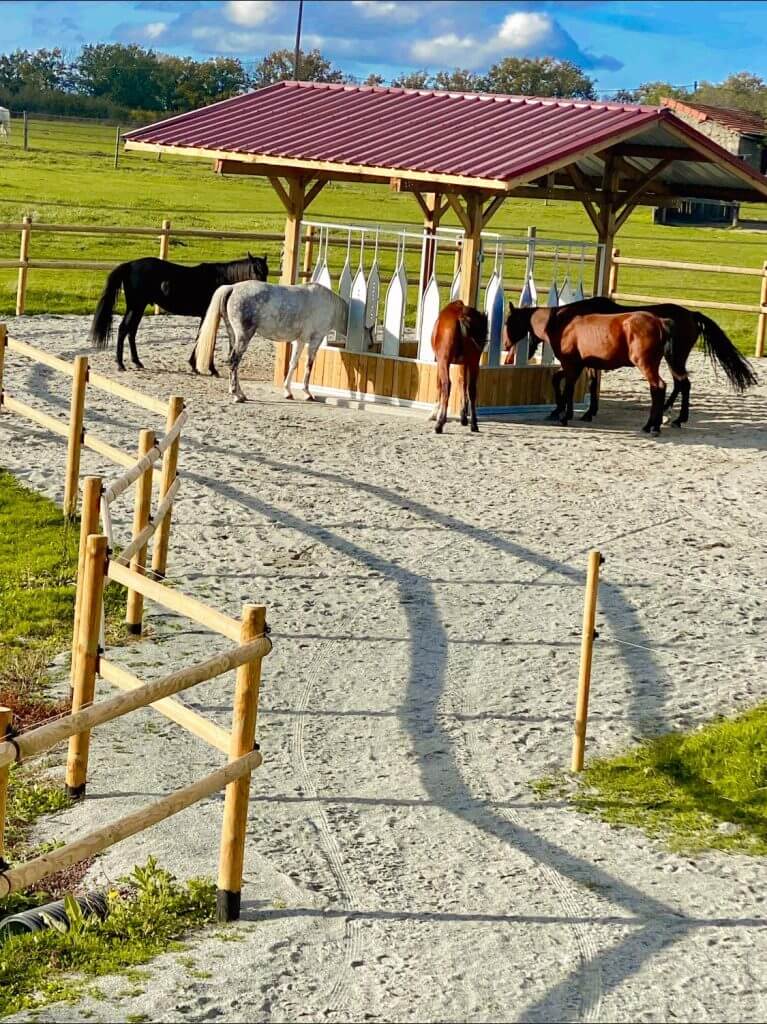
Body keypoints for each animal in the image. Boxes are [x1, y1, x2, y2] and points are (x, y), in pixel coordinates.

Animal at [89, 253, 268, 374]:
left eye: (266, 272)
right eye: (254, 270)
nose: (264, 291)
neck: (220, 281)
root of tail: (130, 265)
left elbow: (202, 338)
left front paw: (196, 366)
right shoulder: (208, 316)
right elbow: (207, 339)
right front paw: (208, 368)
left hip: (138, 307)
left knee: (131, 331)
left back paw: (137, 362)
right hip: (136, 306)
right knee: (123, 329)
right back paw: (120, 364)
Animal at [192, 284, 364, 407]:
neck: (329, 306)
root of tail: (232, 288)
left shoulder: (300, 340)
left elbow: (293, 364)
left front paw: (288, 392)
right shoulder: (315, 340)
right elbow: (309, 366)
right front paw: (307, 394)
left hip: (233, 334)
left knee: (232, 362)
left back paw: (241, 394)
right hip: (243, 337)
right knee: (234, 361)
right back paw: (236, 395)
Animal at [428, 301, 487, 434]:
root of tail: (461, 316)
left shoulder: (440, 361)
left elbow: (439, 385)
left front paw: (434, 414)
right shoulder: (464, 363)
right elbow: (462, 383)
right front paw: (463, 417)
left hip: (444, 361)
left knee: (447, 385)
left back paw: (440, 424)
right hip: (474, 362)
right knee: (472, 389)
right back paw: (474, 425)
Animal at [501, 296, 753, 428]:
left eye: (508, 322)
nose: (505, 348)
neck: (567, 321)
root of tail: (691, 314)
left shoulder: (574, 364)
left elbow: (566, 384)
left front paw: (563, 413)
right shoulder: (587, 364)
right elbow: (585, 384)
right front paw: (585, 412)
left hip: (671, 359)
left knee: (676, 385)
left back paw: (667, 419)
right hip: (673, 359)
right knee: (680, 384)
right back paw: (668, 415)